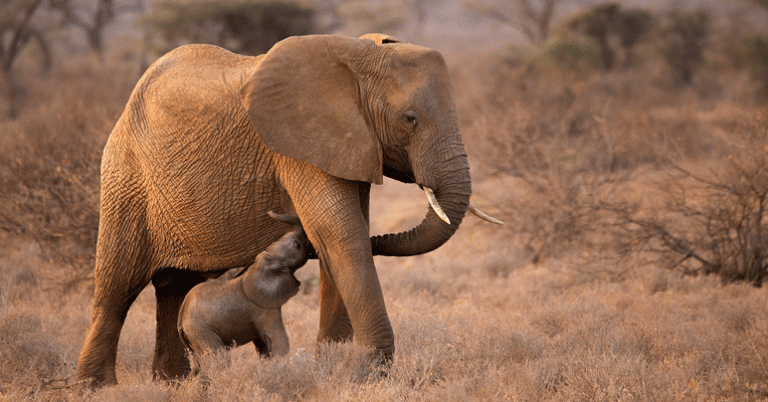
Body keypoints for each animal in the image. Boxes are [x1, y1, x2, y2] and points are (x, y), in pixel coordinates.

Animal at [178, 212, 309, 364]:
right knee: (219, 358)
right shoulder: (262, 308)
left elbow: (263, 343)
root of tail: (180, 320)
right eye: (297, 245)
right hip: (201, 331)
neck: (259, 266)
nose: (268, 212)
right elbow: (278, 339)